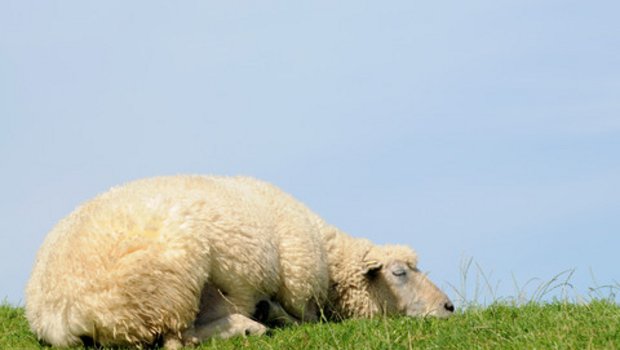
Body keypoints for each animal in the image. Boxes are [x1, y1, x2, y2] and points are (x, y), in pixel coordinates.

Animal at [25, 176, 456, 348]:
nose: (450, 307)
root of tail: (61, 310)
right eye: (400, 273)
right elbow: (303, 317)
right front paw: (272, 317)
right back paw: (251, 327)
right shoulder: (300, 288)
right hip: (169, 287)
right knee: (180, 339)